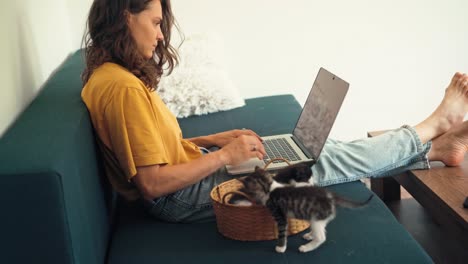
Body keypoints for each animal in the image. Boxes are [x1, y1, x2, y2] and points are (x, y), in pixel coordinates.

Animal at [238, 165, 372, 254]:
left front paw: (281, 248)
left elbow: (282, 233)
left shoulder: (280, 217)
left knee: (321, 237)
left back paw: (306, 247)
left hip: (316, 218)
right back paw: (310, 235)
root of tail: (330, 196)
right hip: (318, 218)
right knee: (322, 228)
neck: (270, 188)